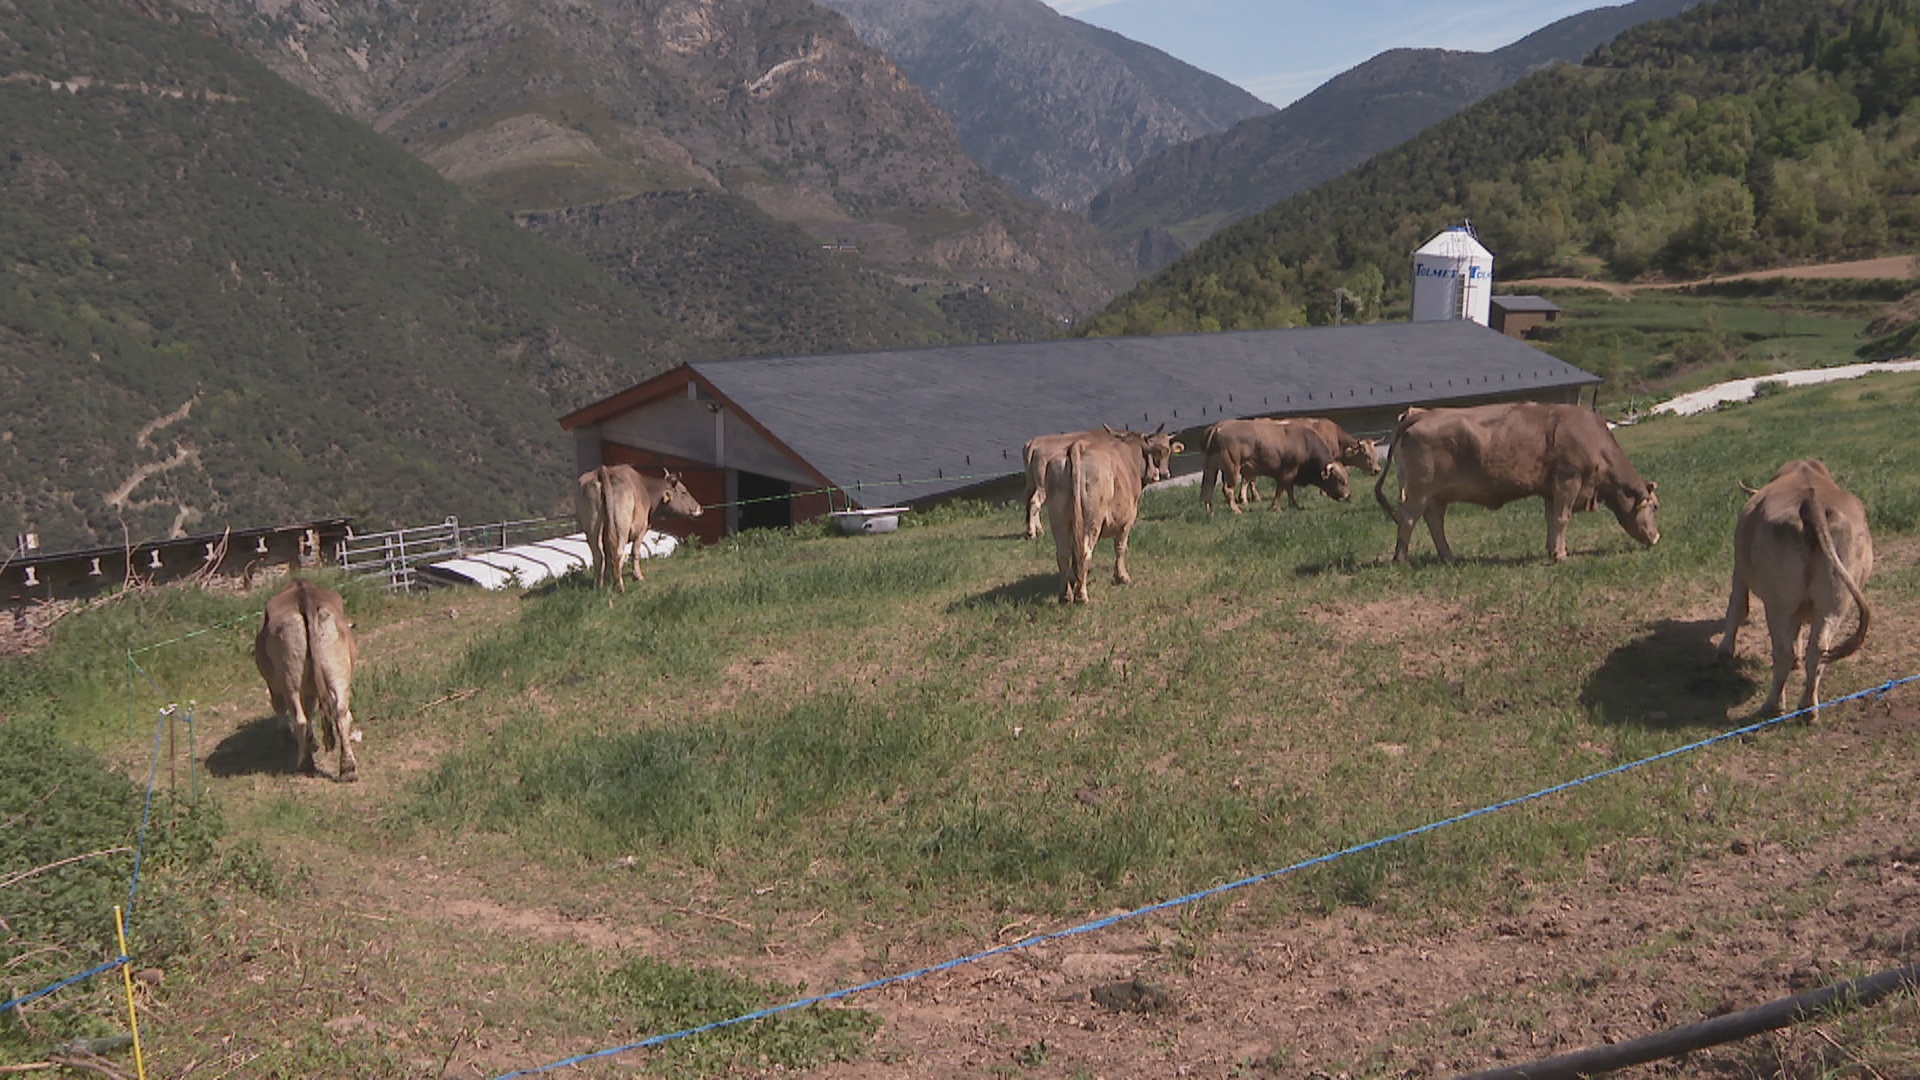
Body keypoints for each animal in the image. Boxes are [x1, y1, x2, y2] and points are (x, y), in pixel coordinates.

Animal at [253, 576, 359, 776]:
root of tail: (304, 594)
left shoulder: (274, 686)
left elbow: (283, 710)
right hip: (338, 673)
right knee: (342, 714)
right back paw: (348, 767)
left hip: (290, 680)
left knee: (299, 718)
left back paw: (304, 763)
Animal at [583, 457, 714, 584]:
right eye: (684, 492)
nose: (700, 508)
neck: (646, 489)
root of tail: (605, 470)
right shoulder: (642, 528)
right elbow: (635, 551)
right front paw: (638, 576)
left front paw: (608, 578)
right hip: (621, 527)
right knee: (618, 553)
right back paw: (619, 585)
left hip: (592, 528)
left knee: (598, 555)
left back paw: (599, 585)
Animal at [1198, 417, 1351, 511]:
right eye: (1340, 480)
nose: (1348, 496)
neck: (1304, 443)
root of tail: (1219, 426)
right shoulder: (1287, 472)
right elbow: (1281, 490)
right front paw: (1276, 507)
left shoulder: (1291, 475)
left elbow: (1289, 490)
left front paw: (1294, 505)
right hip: (1232, 470)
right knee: (1227, 490)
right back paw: (1237, 511)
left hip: (1210, 469)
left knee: (1207, 489)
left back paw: (1209, 512)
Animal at [1374, 399, 1658, 557]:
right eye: (1655, 507)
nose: (1657, 538)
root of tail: (1422, 414)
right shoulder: (1568, 481)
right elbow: (1562, 518)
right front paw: (1561, 554)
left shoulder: (1551, 489)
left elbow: (1551, 518)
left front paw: (1551, 549)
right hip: (1420, 490)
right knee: (1408, 519)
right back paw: (1401, 558)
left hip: (1436, 495)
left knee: (1434, 522)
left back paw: (1448, 556)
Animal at [1720, 455, 1866, 714]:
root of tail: (1811, 502)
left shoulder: (1739, 570)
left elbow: (1736, 606)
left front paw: (1725, 650)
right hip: (1835, 602)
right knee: (1818, 650)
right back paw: (1808, 708)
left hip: (1778, 603)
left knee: (1782, 651)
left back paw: (1774, 705)